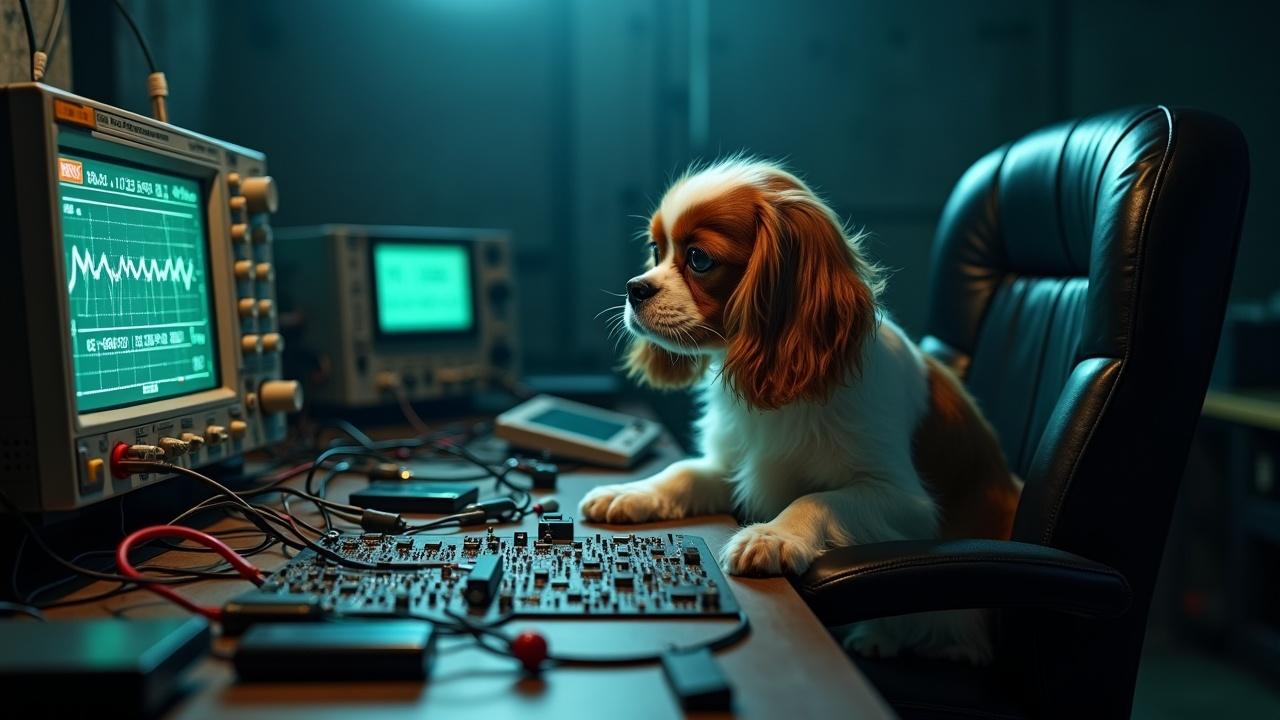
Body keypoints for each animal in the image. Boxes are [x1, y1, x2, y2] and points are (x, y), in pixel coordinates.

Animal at [581, 158, 1018, 661]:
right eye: (656, 249)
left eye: (699, 259)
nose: (635, 288)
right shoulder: (734, 466)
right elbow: (683, 471)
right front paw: (631, 492)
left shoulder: (905, 500)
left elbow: (816, 499)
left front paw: (772, 536)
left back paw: (952, 647)